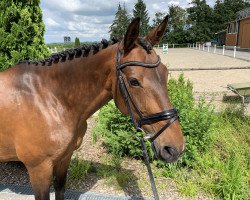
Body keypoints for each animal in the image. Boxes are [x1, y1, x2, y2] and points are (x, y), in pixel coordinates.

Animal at [0, 16, 186, 199]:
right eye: (134, 81)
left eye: (165, 74)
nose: (175, 148)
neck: (50, 98)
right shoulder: (39, 169)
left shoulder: (64, 159)